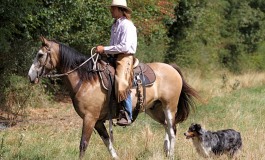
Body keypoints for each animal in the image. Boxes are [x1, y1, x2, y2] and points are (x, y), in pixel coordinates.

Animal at [28, 37, 198, 159]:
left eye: (40, 55)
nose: (30, 76)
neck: (86, 80)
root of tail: (172, 68)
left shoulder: (89, 118)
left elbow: (83, 144)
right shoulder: (97, 121)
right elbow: (107, 141)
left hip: (169, 106)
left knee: (171, 130)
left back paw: (171, 154)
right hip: (155, 109)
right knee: (169, 127)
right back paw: (166, 151)